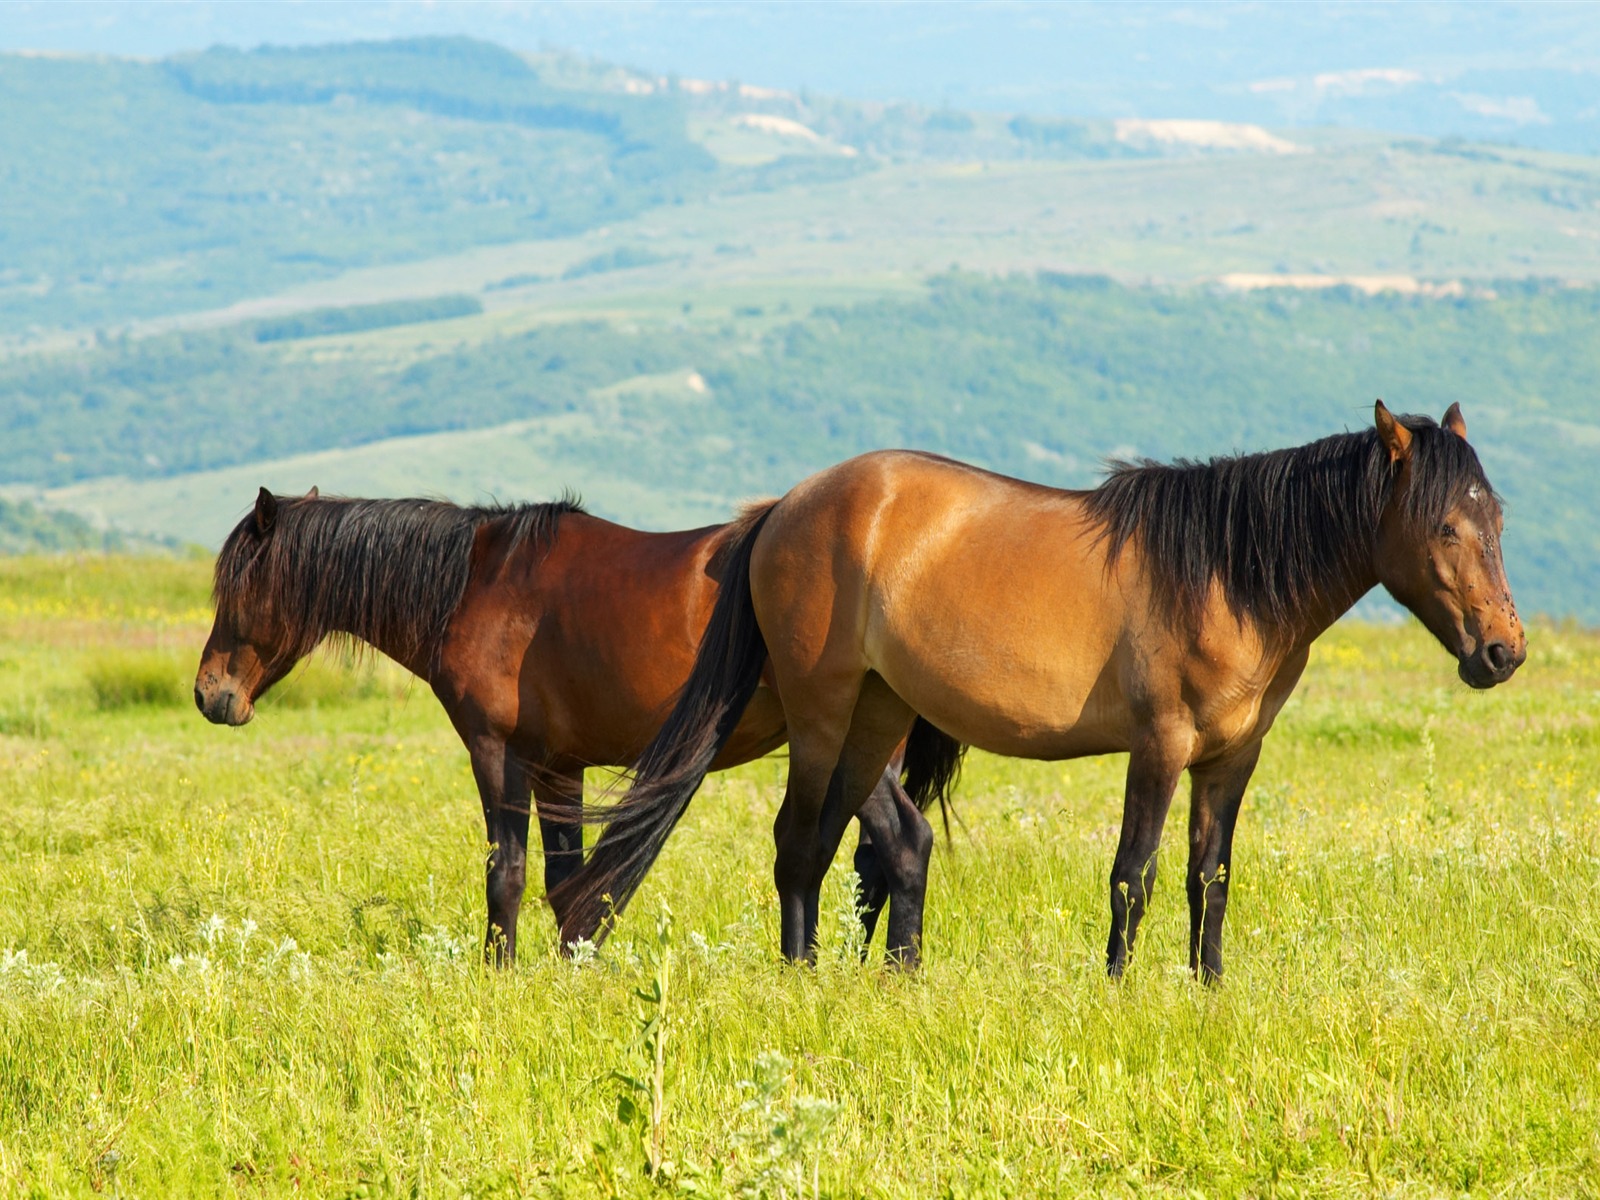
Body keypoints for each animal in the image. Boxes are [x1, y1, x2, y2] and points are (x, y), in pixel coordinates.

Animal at [192, 489, 953, 966]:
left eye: (238, 586)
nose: (210, 695)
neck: (473, 585)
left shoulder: (498, 754)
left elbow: (507, 873)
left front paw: (498, 973)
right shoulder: (560, 766)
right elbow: (567, 884)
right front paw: (570, 969)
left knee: (903, 843)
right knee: (876, 859)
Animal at [556, 400, 1529, 979]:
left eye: (1497, 518)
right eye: (1445, 525)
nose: (1502, 651)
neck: (1224, 575)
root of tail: (783, 509)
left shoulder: (1230, 760)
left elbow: (1207, 877)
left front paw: (1208, 986)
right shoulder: (1160, 747)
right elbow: (1134, 874)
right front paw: (1118, 988)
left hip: (877, 716)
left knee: (840, 845)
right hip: (822, 713)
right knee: (797, 845)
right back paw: (799, 981)